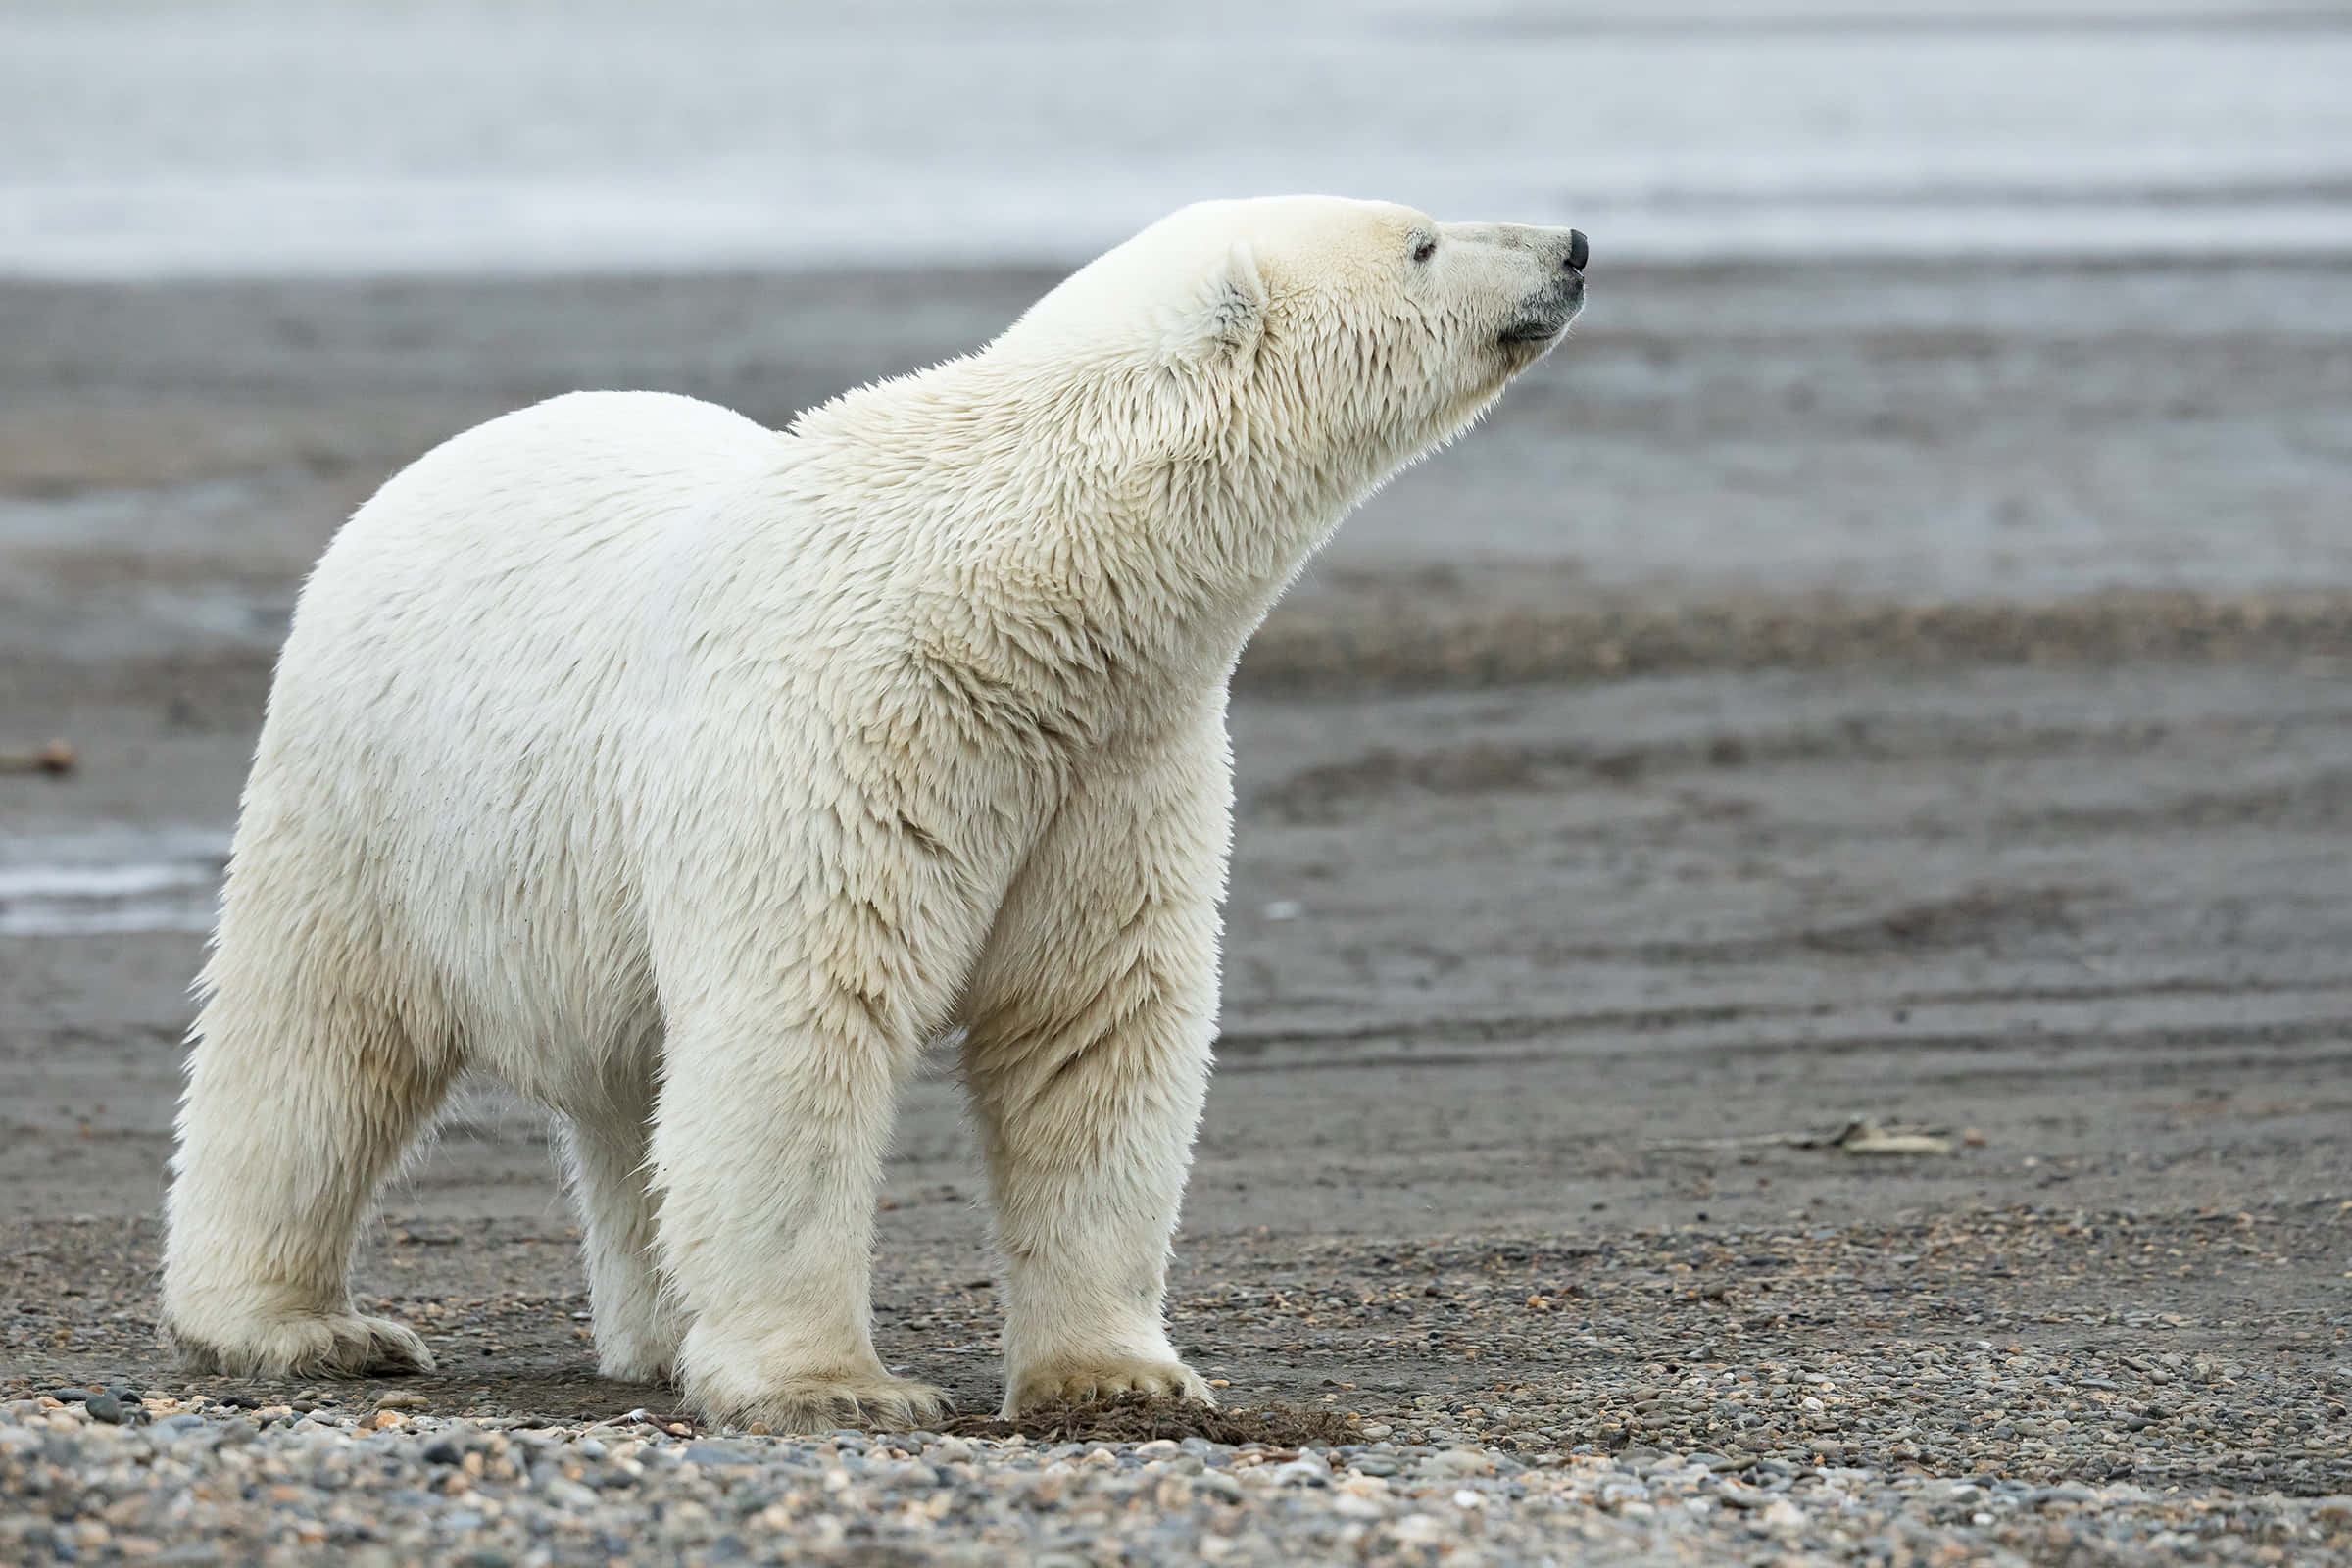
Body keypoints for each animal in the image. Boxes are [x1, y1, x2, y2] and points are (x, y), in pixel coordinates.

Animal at [161, 195, 1587, 1431]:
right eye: (1422, 239)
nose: (1571, 245)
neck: (1013, 606)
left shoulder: (1114, 767)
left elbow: (1093, 1029)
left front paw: (1118, 1374)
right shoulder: (847, 735)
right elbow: (802, 1027)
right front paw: (833, 1385)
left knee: (632, 1093)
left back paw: (659, 1334)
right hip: (371, 792)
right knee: (311, 1041)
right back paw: (300, 1323)